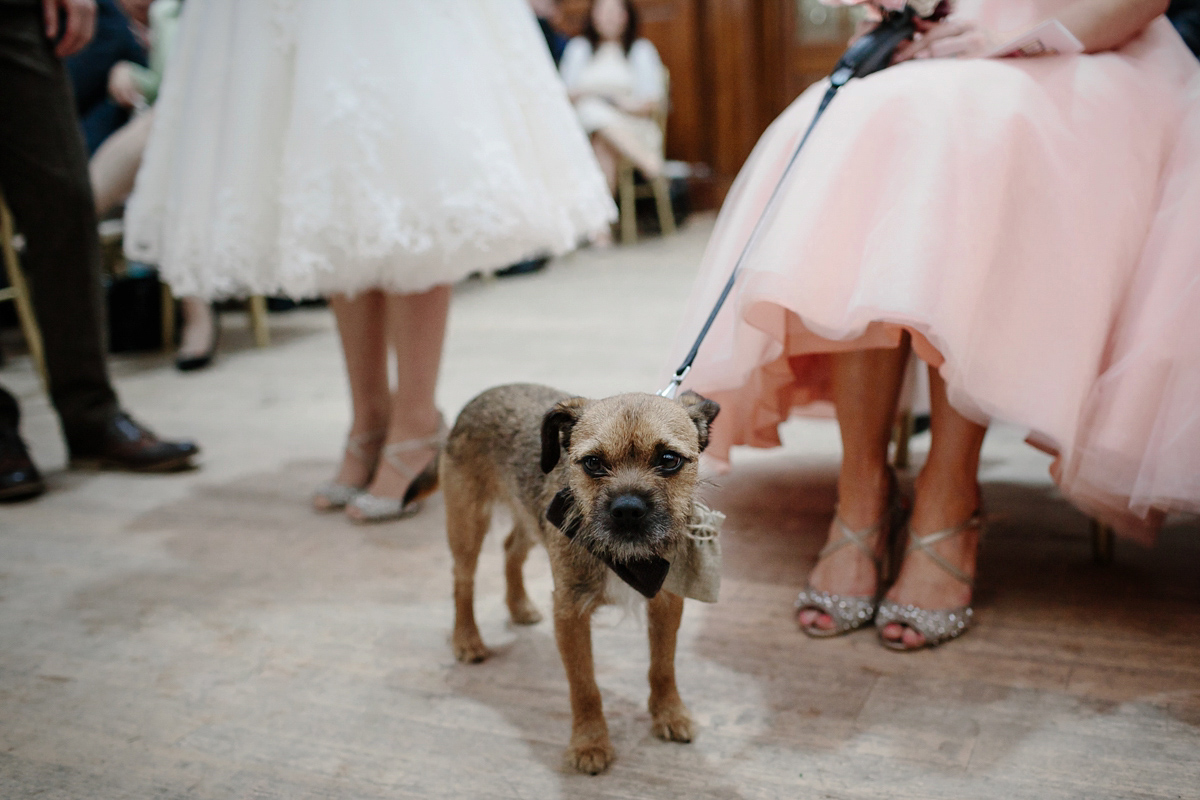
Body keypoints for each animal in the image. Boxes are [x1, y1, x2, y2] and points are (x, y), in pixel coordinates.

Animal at [422, 383, 720, 772]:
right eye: (593, 463)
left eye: (669, 460)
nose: (628, 510)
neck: (625, 559)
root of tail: (477, 401)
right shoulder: (570, 613)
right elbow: (584, 686)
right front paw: (589, 743)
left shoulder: (666, 602)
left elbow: (663, 664)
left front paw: (670, 713)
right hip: (467, 524)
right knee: (463, 580)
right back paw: (467, 638)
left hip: (530, 520)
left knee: (510, 548)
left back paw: (519, 606)